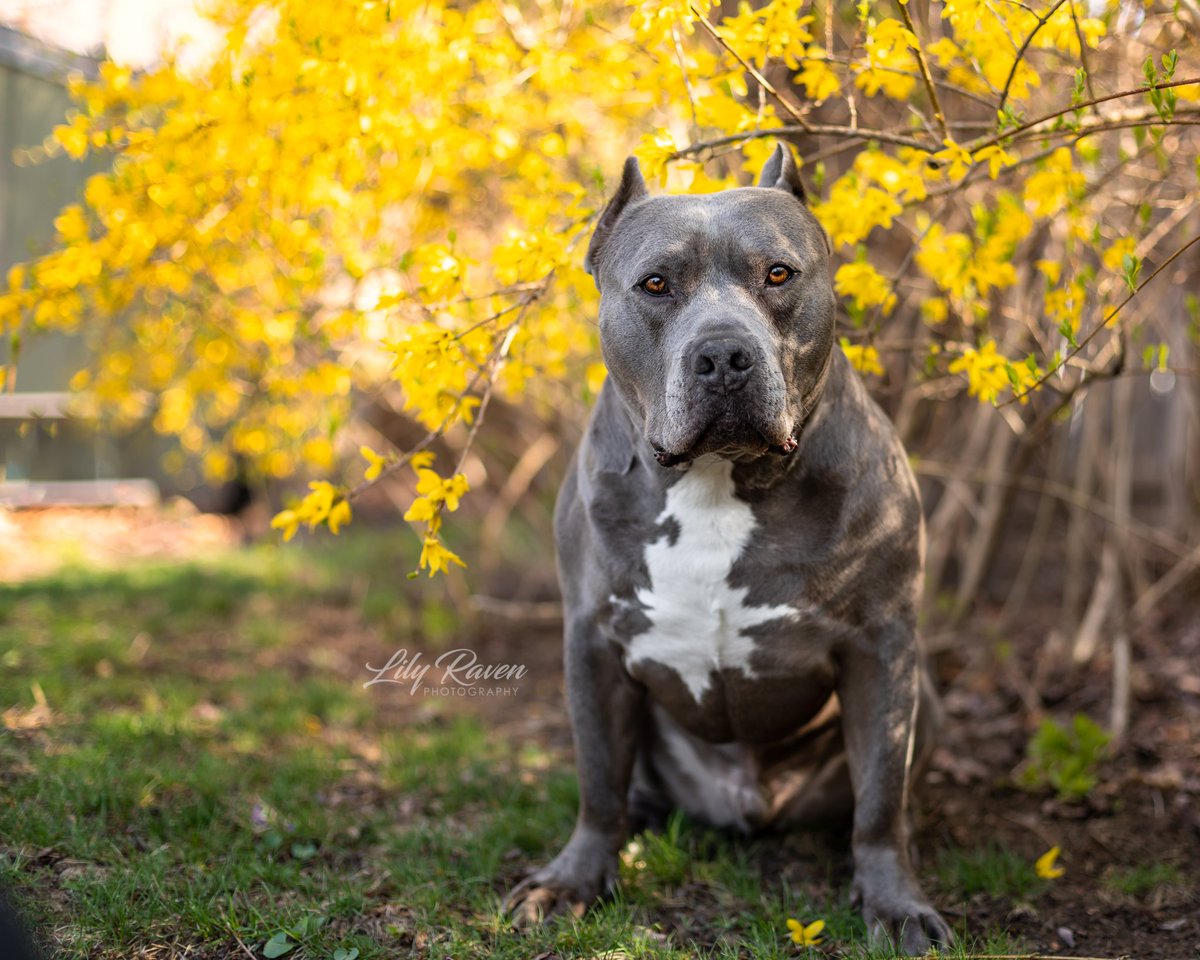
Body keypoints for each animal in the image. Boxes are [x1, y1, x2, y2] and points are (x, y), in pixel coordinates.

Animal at [501, 144, 950, 950]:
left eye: (778, 274)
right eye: (655, 284)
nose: (722, 355)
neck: (715, 480)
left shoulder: (880, 646)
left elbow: (880, 801)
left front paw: (895, 903)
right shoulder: (592, 642)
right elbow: (596, 780)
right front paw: (572, 881)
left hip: (921, 694)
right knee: (627, 782)